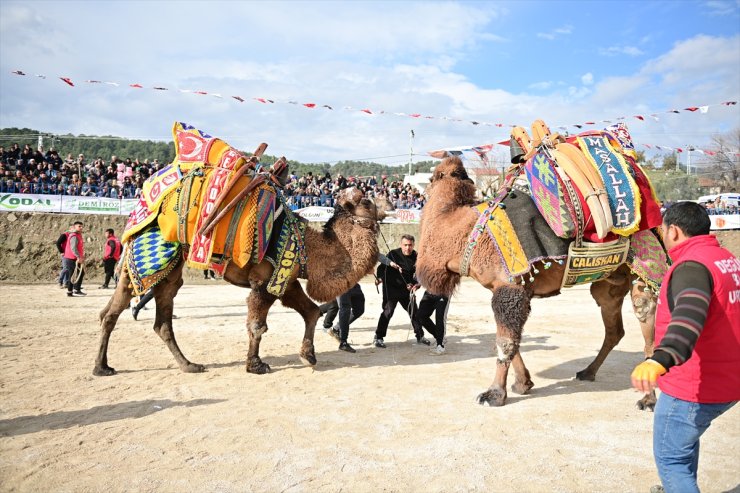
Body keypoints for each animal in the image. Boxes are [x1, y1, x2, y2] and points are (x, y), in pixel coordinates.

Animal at [94, 122, 384, 372]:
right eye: (367, 201)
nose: (387, 206)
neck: (307, 248)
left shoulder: (285, 279)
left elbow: (311, 311)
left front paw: (308, 355)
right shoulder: (263, 281)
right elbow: (257, 325)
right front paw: (256, 365)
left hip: (169, 268)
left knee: (157, 318)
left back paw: (187, 365)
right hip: (148, 256)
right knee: (115, 310)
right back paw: (101, 367)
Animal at [420, 122, 668, 408]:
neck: (468, 231)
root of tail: (655, 221)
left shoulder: (509, 287)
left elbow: (504, 343)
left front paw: (494, 394)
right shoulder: (510, 290)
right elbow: (512, 341)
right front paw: (523, 383)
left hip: (645, 265)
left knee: (646, 318)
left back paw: (648, 399)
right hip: (609, 282)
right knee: (614, 328)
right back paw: (587, 372)